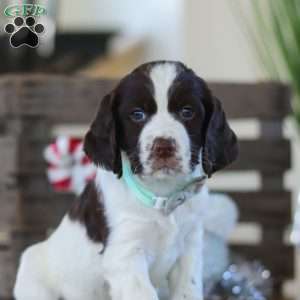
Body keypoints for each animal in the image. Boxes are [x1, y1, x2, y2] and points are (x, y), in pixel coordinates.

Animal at [14, 61, 238, 300]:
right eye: (137, 114)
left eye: (187, 112)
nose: (164, 146)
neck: (162, 196)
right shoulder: (125, 255)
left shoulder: (189, 247)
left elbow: (189, 290)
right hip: (32, 269)